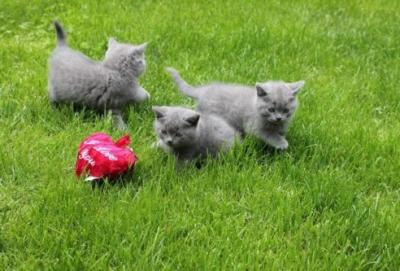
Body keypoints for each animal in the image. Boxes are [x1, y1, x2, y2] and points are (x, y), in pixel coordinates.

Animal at [166, 67, 304, 150]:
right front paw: (282, 143)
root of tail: (203, 91)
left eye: (286, 110)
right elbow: (269, 135)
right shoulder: (255, 127)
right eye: (271, 109)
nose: (279, 118)